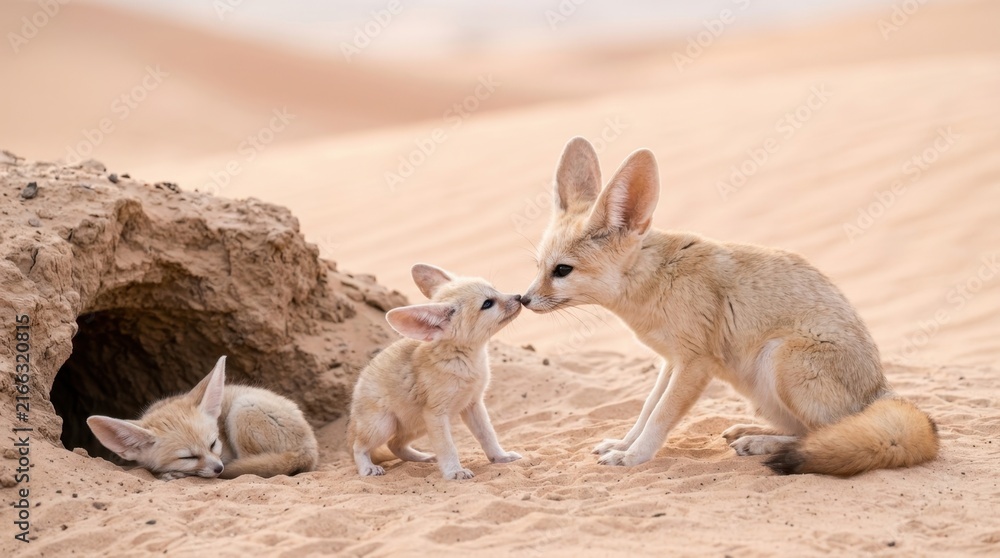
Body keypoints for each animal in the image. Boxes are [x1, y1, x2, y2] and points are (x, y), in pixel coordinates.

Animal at [348, 264, 523, 480]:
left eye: (495, 289)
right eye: (487, 304)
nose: (519, 297)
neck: (465, 360)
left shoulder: (473, 404)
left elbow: (488, 435)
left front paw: (501, 457)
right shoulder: (436, 414)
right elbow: (447, 447)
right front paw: (454, 471)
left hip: (417, 426)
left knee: (394, 444)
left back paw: (422, 458)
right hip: (384, 425)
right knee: (358, 447)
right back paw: (367, 468)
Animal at [520, 137, 939, 476]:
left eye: (562, 270)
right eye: (538, 266)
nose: (523, 299)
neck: (657, 279)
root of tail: (881, 390)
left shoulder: (695, 363)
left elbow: (660, 417)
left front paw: (633, 457)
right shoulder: (670, 361)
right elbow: (646, 410)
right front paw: (624, 444)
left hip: (781, 358)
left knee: (824, 433)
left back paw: (762, 443)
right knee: (810, 430)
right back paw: (753, 433)